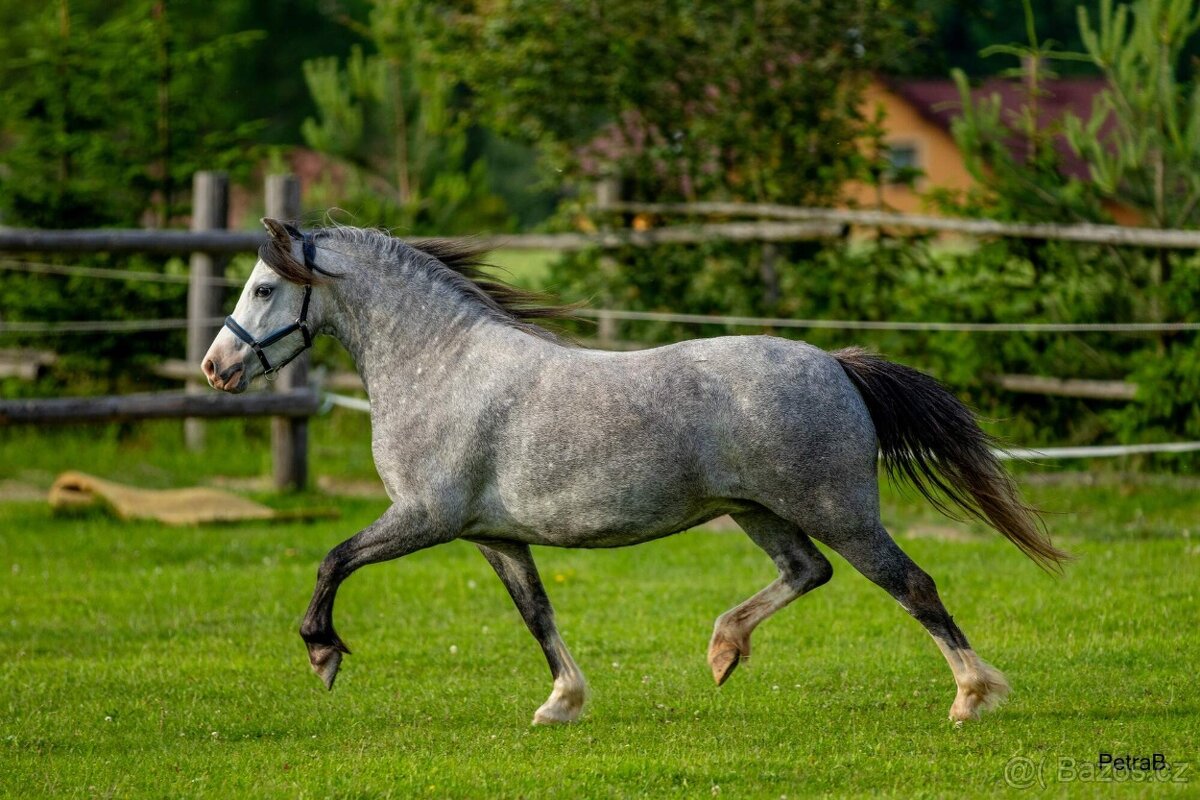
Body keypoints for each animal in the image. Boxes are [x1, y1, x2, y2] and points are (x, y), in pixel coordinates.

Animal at [203, 218, 1066, 725]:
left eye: (264, 287)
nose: (216, 368)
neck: (442, 366)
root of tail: (836, 364)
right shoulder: (490, 535)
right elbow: (536, 613)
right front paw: (562, 703)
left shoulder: (425, 518)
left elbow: (333, 559)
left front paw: (321, 654)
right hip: (759, 510)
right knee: (807, 572)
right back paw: (723, 651)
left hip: (839, 510)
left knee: (910, 584)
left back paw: (971, 698)